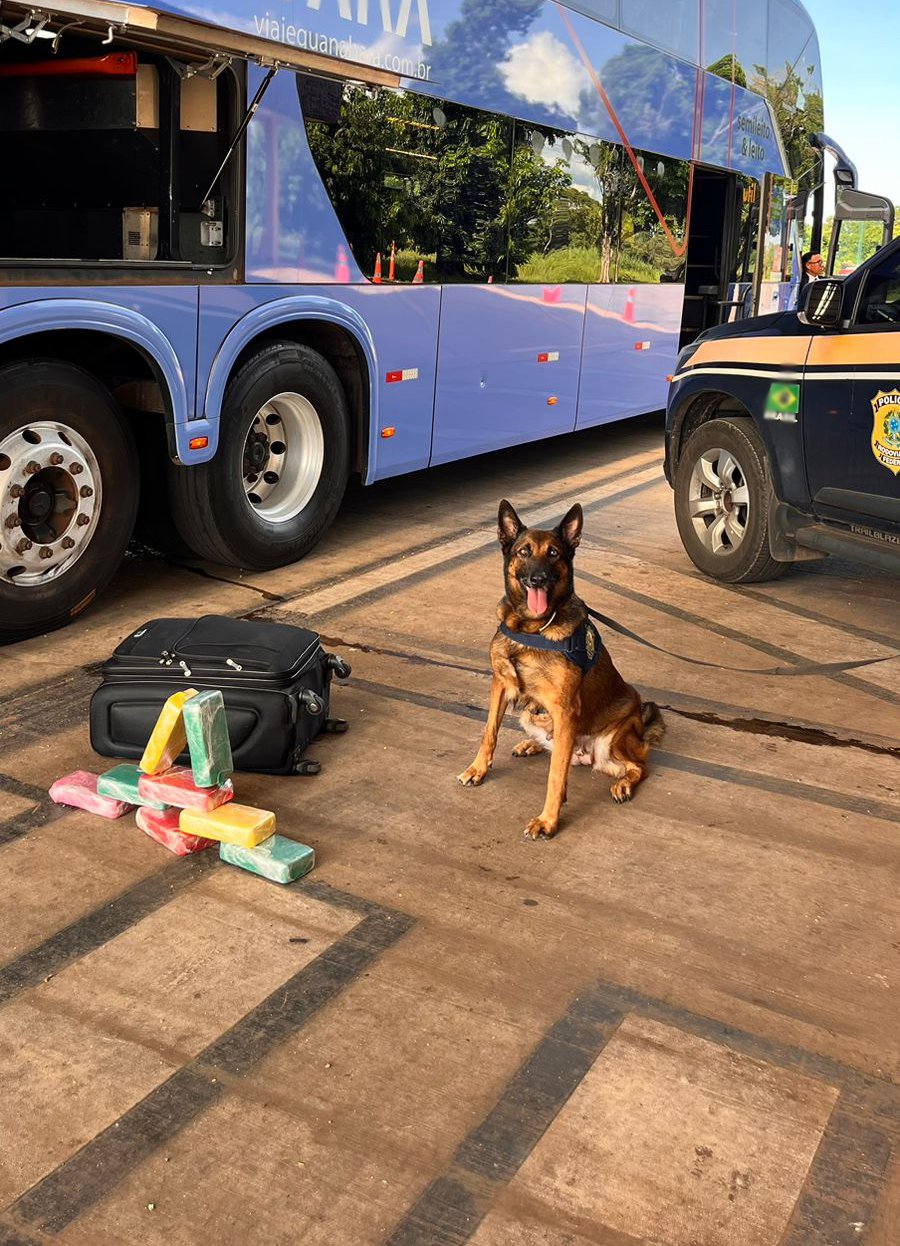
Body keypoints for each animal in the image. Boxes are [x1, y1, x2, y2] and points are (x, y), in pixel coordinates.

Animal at [456, 500, 658, 842]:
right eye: (524, 551)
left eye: (553, 553)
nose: (538, 579)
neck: (531, 628)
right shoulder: (500, 685)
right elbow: (489, 733)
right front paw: (478, 769)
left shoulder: (565, 710)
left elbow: (555, 775)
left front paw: (548, 821)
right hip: (531, 715)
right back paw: (531, 744)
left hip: (610, 744)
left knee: (639, 766)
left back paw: (623, 785)